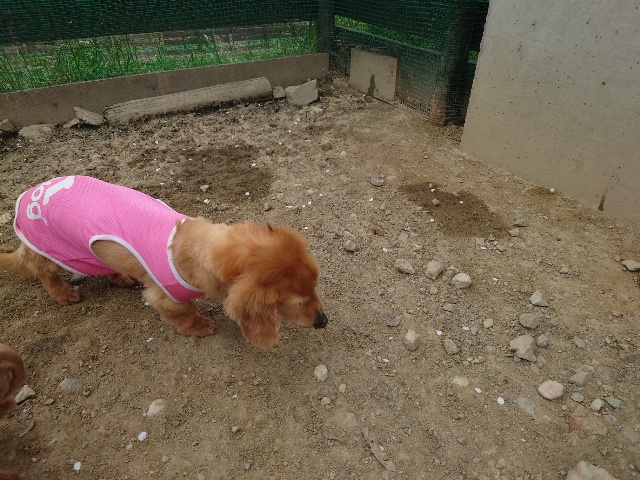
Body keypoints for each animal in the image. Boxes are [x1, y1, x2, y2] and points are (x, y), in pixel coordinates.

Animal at [0, 176, 328, 349]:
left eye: (316, 286)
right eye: (296, 302)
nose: (323, 322)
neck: (192, 247)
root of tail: (32, 193)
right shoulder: (165, 296)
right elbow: (183, 312)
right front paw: (197, 326)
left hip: (91, 253)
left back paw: (119, 277)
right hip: (57, 253)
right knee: (43, 271)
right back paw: (62, 293)